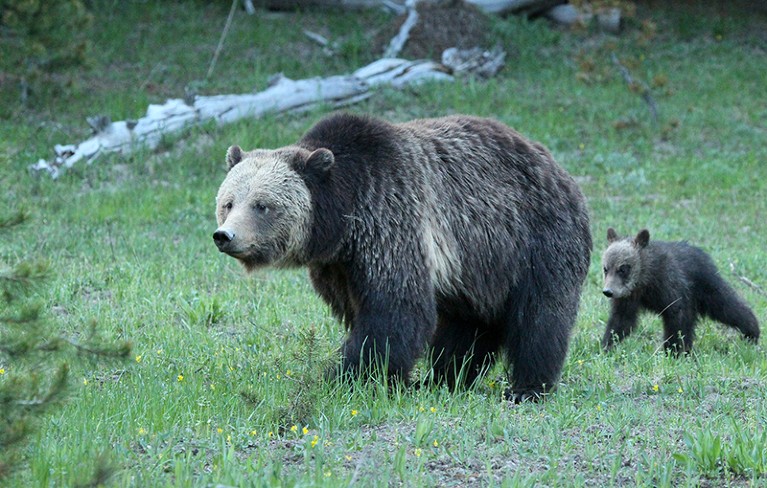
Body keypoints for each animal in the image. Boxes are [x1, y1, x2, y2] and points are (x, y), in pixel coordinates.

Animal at [216, 113, 592, 400]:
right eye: (229, 202)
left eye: (262, 205)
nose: (225, 236)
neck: (343, 219)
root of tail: (558, 168)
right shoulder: (338, 266)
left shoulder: (391, 220)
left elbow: (394, 310)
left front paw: (350, 377)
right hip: (478, 267)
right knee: (468, 326)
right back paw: (444, 379)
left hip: (534, 239)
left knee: (540, 317)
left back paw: (527, 387)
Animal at [604, 227, 760, 352]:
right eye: (606, 268)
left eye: (623, 268)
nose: (608, 291)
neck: (645, 280)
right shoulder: (628, 296)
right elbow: (621, 321)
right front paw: (607, 345)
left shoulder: (672, 287)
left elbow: (678, 320)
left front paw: (675, 351)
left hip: (706, 286)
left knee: (727, 306)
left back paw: (752, 331)